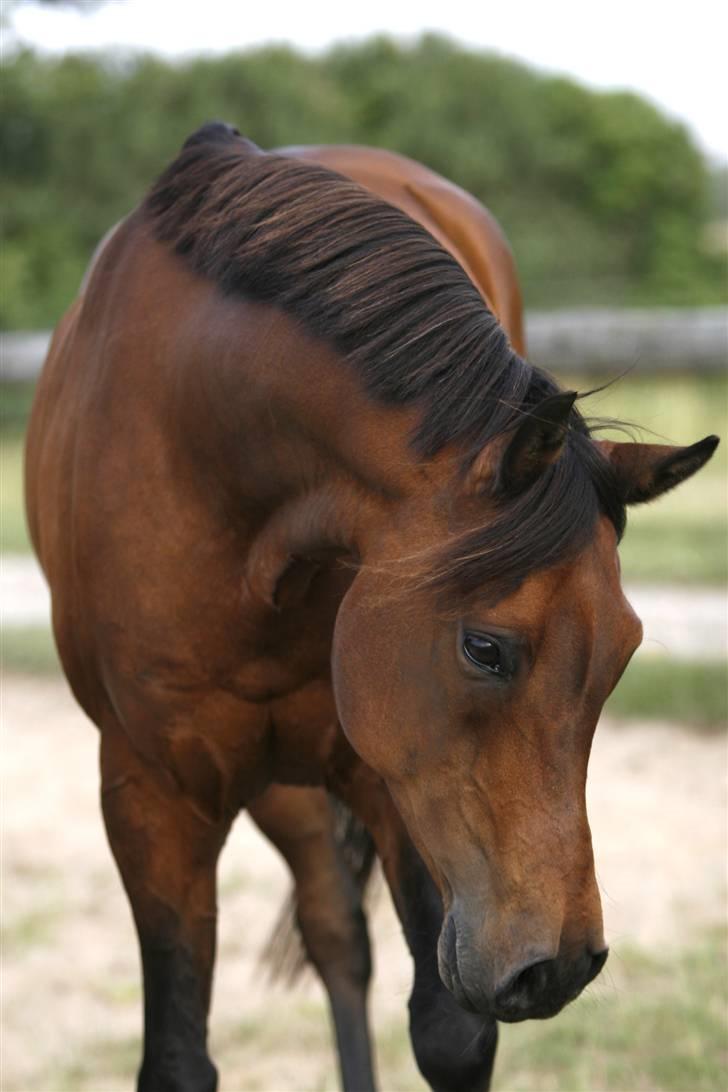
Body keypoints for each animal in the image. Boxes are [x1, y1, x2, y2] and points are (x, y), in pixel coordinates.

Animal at [25, 121, 720, 1092]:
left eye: (623, 654)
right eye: (484, 648)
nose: (562, 965)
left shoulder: (391, 774)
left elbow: (452, 1035)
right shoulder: (149, 792)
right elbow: (177, 1057)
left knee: (337, 938)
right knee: (331, 933)